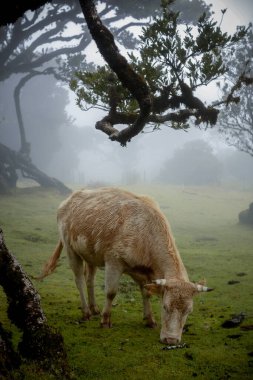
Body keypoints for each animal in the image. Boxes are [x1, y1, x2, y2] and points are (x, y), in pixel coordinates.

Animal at [38, 187, 213, 344]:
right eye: (165, 306)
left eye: (189, 311)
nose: (171, 340)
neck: (145, 233)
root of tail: (70, 198)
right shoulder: (113, 262)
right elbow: (111, 292)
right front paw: (105, 320)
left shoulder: (141, 271)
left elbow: (146, 293)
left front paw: (149, 319)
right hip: (70, 249)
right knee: (79, 280)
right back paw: (86, 312)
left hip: (90, 254)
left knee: (89, 279)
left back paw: (94, 308)